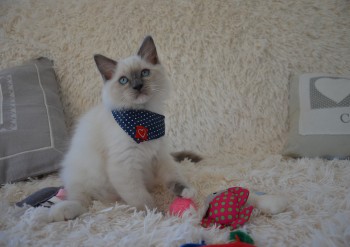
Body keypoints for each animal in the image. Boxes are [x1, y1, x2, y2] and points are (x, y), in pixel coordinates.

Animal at [49, 35, 197, 221]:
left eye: (144, 73)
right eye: (123, 80)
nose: (138, 86)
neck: (144, 119)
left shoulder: (160, 154)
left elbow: (174, 176)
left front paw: (186, 191)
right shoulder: (125, 166)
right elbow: (142, 198)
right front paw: (156, 215)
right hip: (84, 183)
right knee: (81, 201)